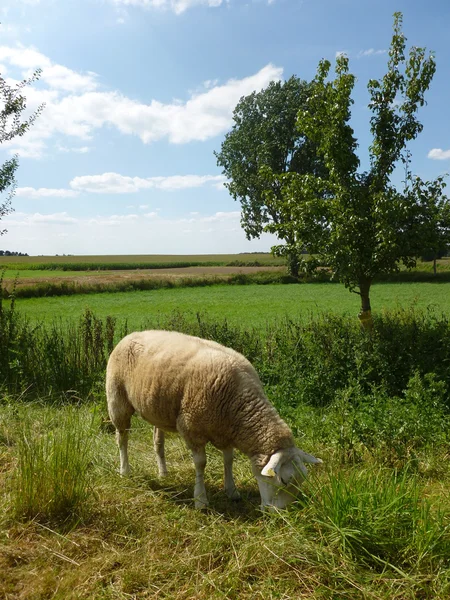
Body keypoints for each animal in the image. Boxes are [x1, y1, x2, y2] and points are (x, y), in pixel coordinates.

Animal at [107, 330, 322, 508]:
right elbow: (201, 464)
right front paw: (201, 499)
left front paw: (232, 490)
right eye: (284, 481)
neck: (238, 405)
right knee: (122, 438)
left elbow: (229, 460)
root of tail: (131, 334)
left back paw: (163, 472)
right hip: (117, 400)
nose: (285, 513)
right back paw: (125, 470)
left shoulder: (225, 431)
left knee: (157, 440)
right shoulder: (192, 429)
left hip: (157, 409)